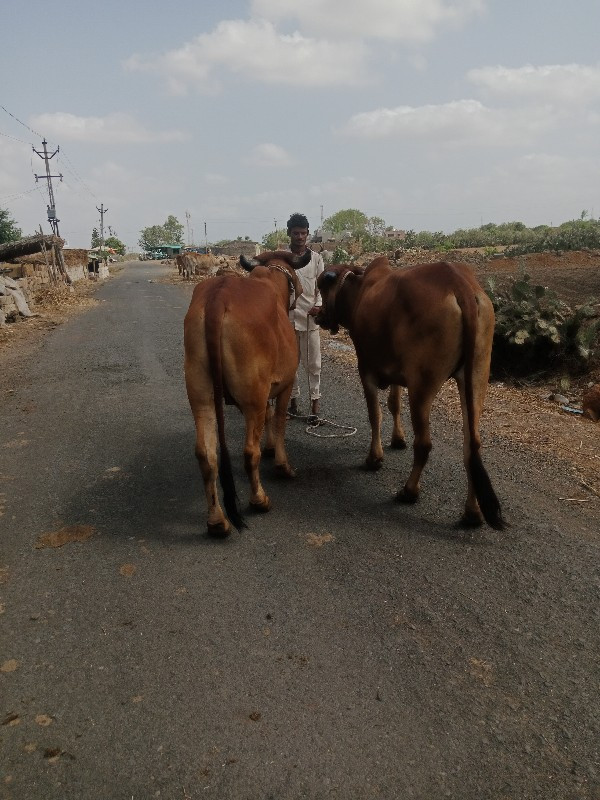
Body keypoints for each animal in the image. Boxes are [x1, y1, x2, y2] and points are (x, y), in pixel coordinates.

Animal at [183, 248, 310, 536]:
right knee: (249, 452)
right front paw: (282, 463)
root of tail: (219, 296)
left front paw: (271, 447)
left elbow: (269, 417)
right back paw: (260, 500)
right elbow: (279, 419)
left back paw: (217, 521)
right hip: (252, 397)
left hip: (201, 395)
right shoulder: (285, 384)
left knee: (206, 453)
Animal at [316, 258, 504, 532]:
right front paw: (397, 439)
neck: (360, 290)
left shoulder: (366, 368)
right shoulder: (398, 373)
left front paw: (374, 458)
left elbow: (375, 414)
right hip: (477, 376)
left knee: (424, 443)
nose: (317, 313)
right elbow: (394, 404)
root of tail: (459, 284)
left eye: (322, 286)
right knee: (472, 445)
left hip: (422, 386)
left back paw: (409, 491)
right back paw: (472, 512)